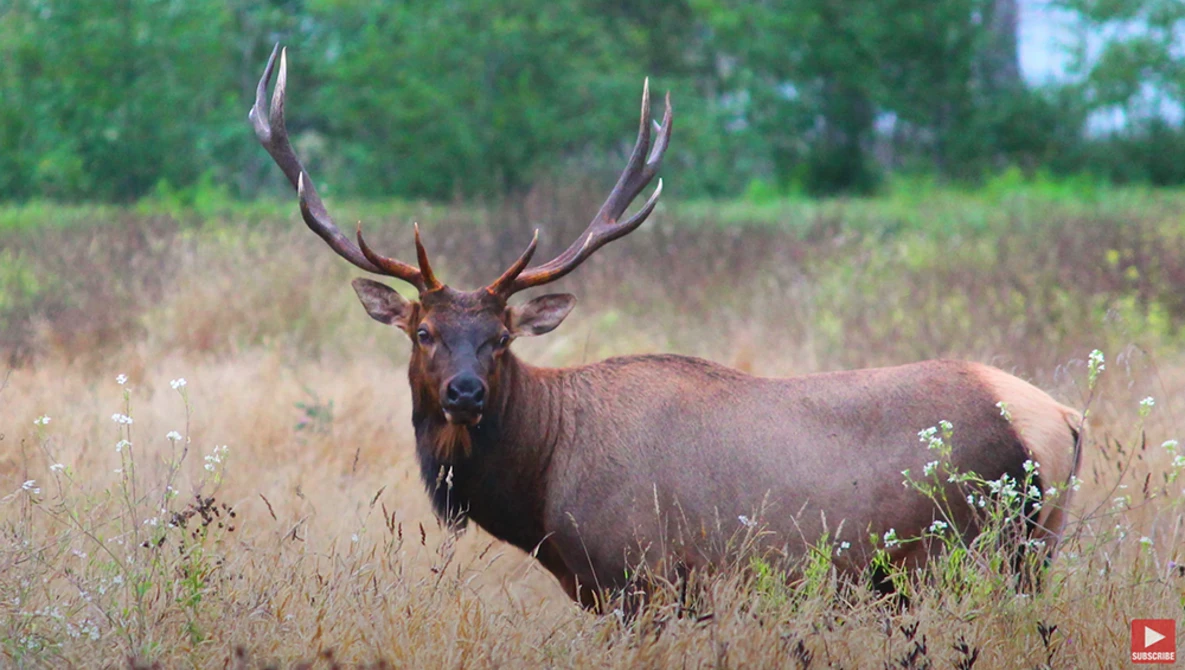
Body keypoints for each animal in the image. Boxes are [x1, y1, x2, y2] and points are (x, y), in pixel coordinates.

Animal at [250, 45, 1083, 609]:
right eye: (422, 333)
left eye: (500, 339)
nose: (462, 392)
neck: (540, 482)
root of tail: (1062, 418)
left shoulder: (643, 576)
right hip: (1029, 550)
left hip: (983, 549)